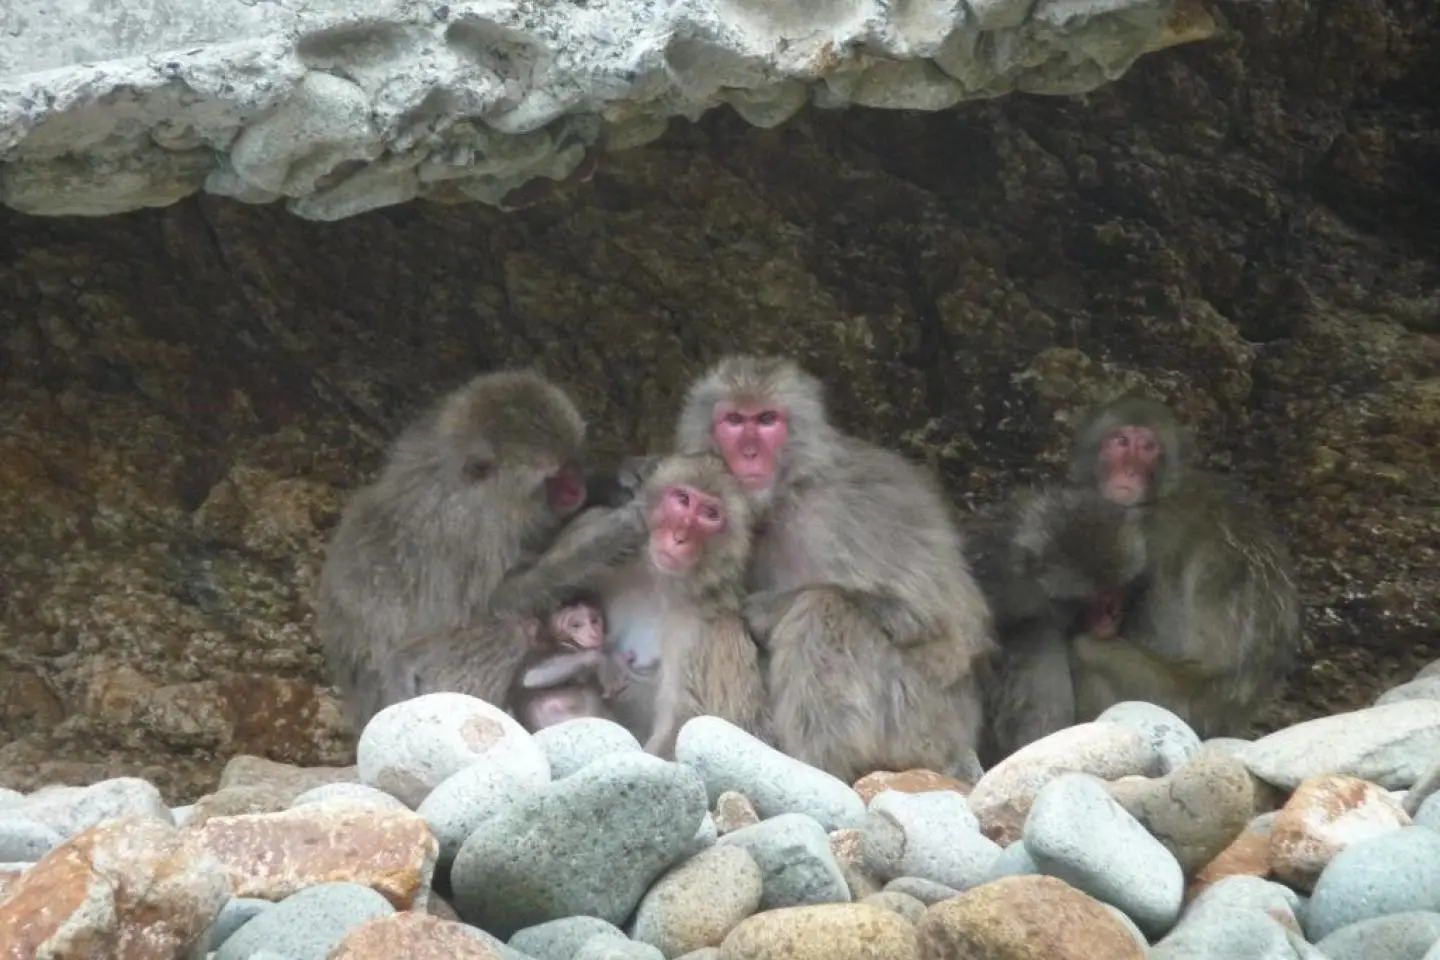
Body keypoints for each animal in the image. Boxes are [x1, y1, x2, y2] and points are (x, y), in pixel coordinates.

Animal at [315, 370, 648, 733]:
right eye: (554, 478)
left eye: (573, 461)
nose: (578, 488)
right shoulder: (472, 533)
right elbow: (496, 601)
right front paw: (601, 544)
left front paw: (612, 481)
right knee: (507, 630)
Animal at [596, 453, 768, 758]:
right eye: (682, 499)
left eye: (711, 514)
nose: (679, 536)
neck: (660, 585)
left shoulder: (699, 626)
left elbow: (684, 720)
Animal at [674, 355, 995, 784]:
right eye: (735, 420)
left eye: (767, 419)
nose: (748, 452)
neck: (788, 490)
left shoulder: (848, 510)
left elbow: (937, 625)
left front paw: (763, 610)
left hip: (921, 724)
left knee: (823, 608)